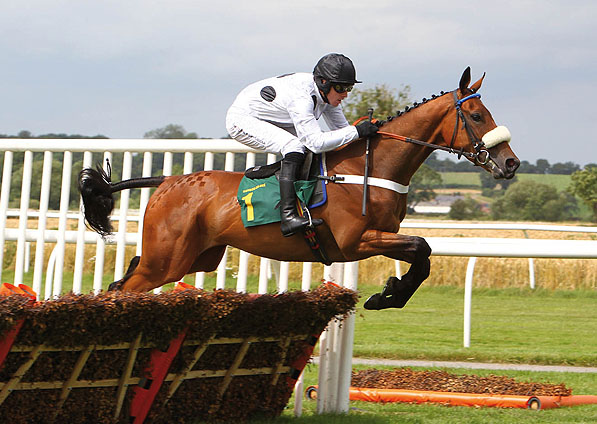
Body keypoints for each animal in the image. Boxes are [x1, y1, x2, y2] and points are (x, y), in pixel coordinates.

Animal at [78, 68, 516, 310]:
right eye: (477, 115)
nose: (511, 163)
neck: (367, 169)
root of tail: (169, 181)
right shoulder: (356, 241)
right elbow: (421, 247)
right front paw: (388, 293)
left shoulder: (379, 238)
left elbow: (422, 256)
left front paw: (388, 294)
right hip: (167, 261)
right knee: (124, 288)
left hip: (195, 258)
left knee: (125, 278)